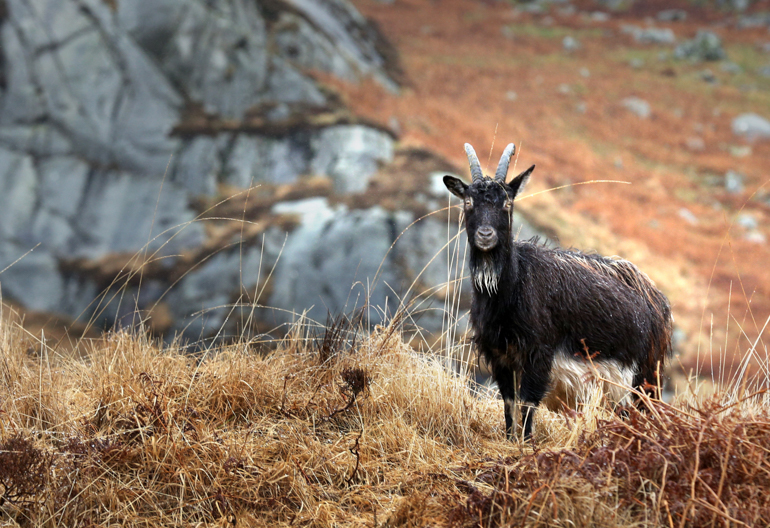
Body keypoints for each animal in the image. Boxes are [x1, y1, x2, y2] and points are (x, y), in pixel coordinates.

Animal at [443, 143, 672, 441]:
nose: (485, 235)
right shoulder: (500, 355)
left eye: (507, 203)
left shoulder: (539, 353)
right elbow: (509, 402)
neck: (514, 287)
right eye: (468, 202)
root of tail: (657, 298)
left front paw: (525, 443)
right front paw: (510, 439)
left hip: (644, 375)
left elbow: (528, 402)